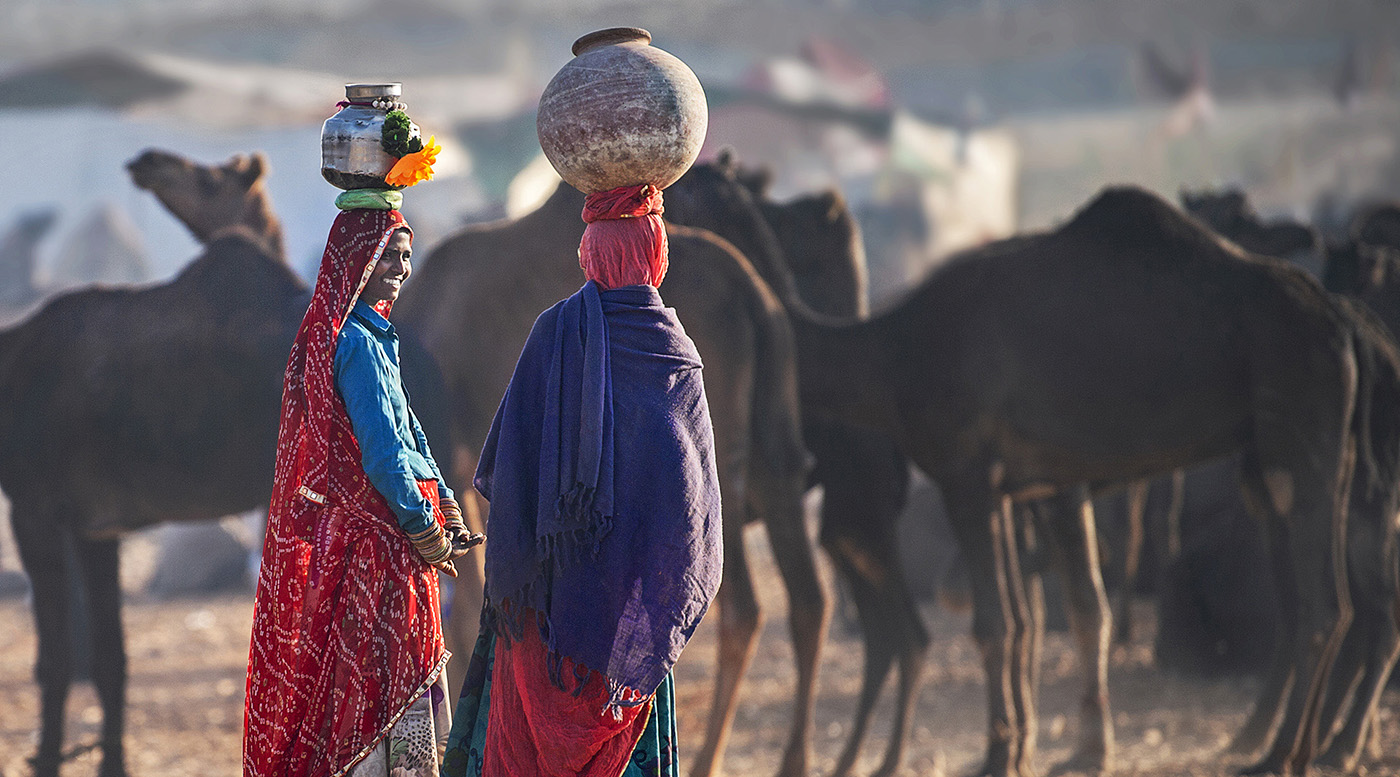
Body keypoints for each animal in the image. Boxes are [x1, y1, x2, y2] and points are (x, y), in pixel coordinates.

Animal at [782, 185, 1360, 777]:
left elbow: (996, 623)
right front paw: (1035, 749)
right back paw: (1294, 747)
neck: (892, 352)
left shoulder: (966, 478)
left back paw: (1281, 753)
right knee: (1332, 603)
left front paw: (1001, 755)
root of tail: (1338, 325)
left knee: (1321, 607)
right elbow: (1033, 616)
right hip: (1321, 454)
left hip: (1302, 433)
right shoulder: (1018, 485)